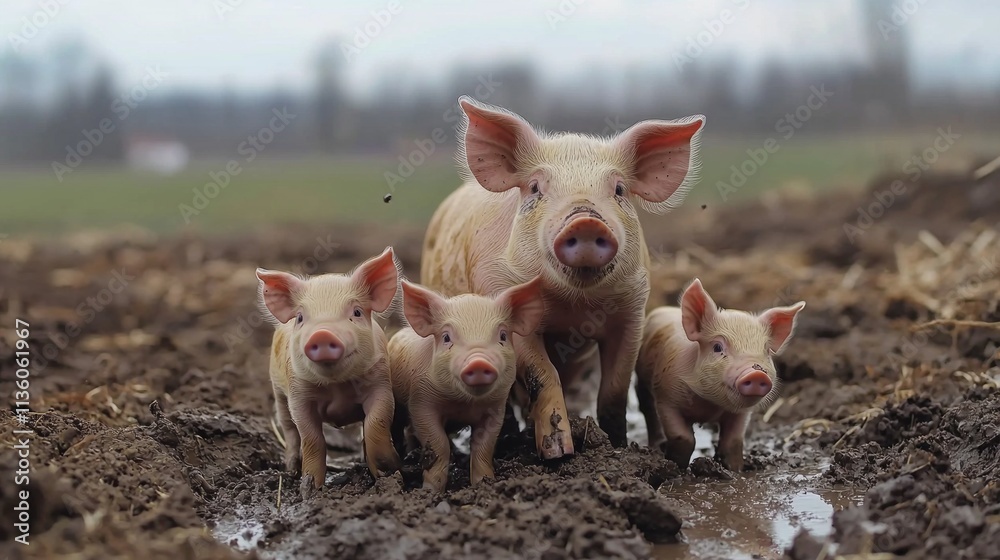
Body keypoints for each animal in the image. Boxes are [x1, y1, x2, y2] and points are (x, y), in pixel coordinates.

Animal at [256, 247, 402, 490]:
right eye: (300, 317)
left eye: (357, 312)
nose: (322, 334)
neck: (337, 386)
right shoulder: (298, 395)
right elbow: (311, 437)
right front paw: (311, 487)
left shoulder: (380, 382)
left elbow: (376, 422)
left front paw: (387, 470)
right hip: (278, 394)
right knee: (289, 431)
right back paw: (291, 470)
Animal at [387, 277, 544, 492]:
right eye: (446, 337)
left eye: (503, 336)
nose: (478, 362)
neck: (464, 404)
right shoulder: (421, 403)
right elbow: (438, 444)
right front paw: (431, 491)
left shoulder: (496, 409)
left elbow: (483, 446)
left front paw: (484, 483)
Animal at [420, 96, 706, 459]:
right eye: (535, 187)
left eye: (619, 189)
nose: (585, 221)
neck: (573, 306)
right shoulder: (504, 299)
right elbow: (542, 376)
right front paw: (559, 455)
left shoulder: (632, 311)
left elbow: (615, 389)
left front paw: (618, 448)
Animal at [635, 278, 805, 472]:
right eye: (717, 347)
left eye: (766, 351)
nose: (756, 374)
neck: (708, 406)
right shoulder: (666, 397)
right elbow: (683, 437)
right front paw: (678, 468)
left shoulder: (741, 413)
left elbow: (734, 441)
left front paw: (735, 470)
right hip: (642, 379)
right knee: (647, 409)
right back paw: (657, 446)